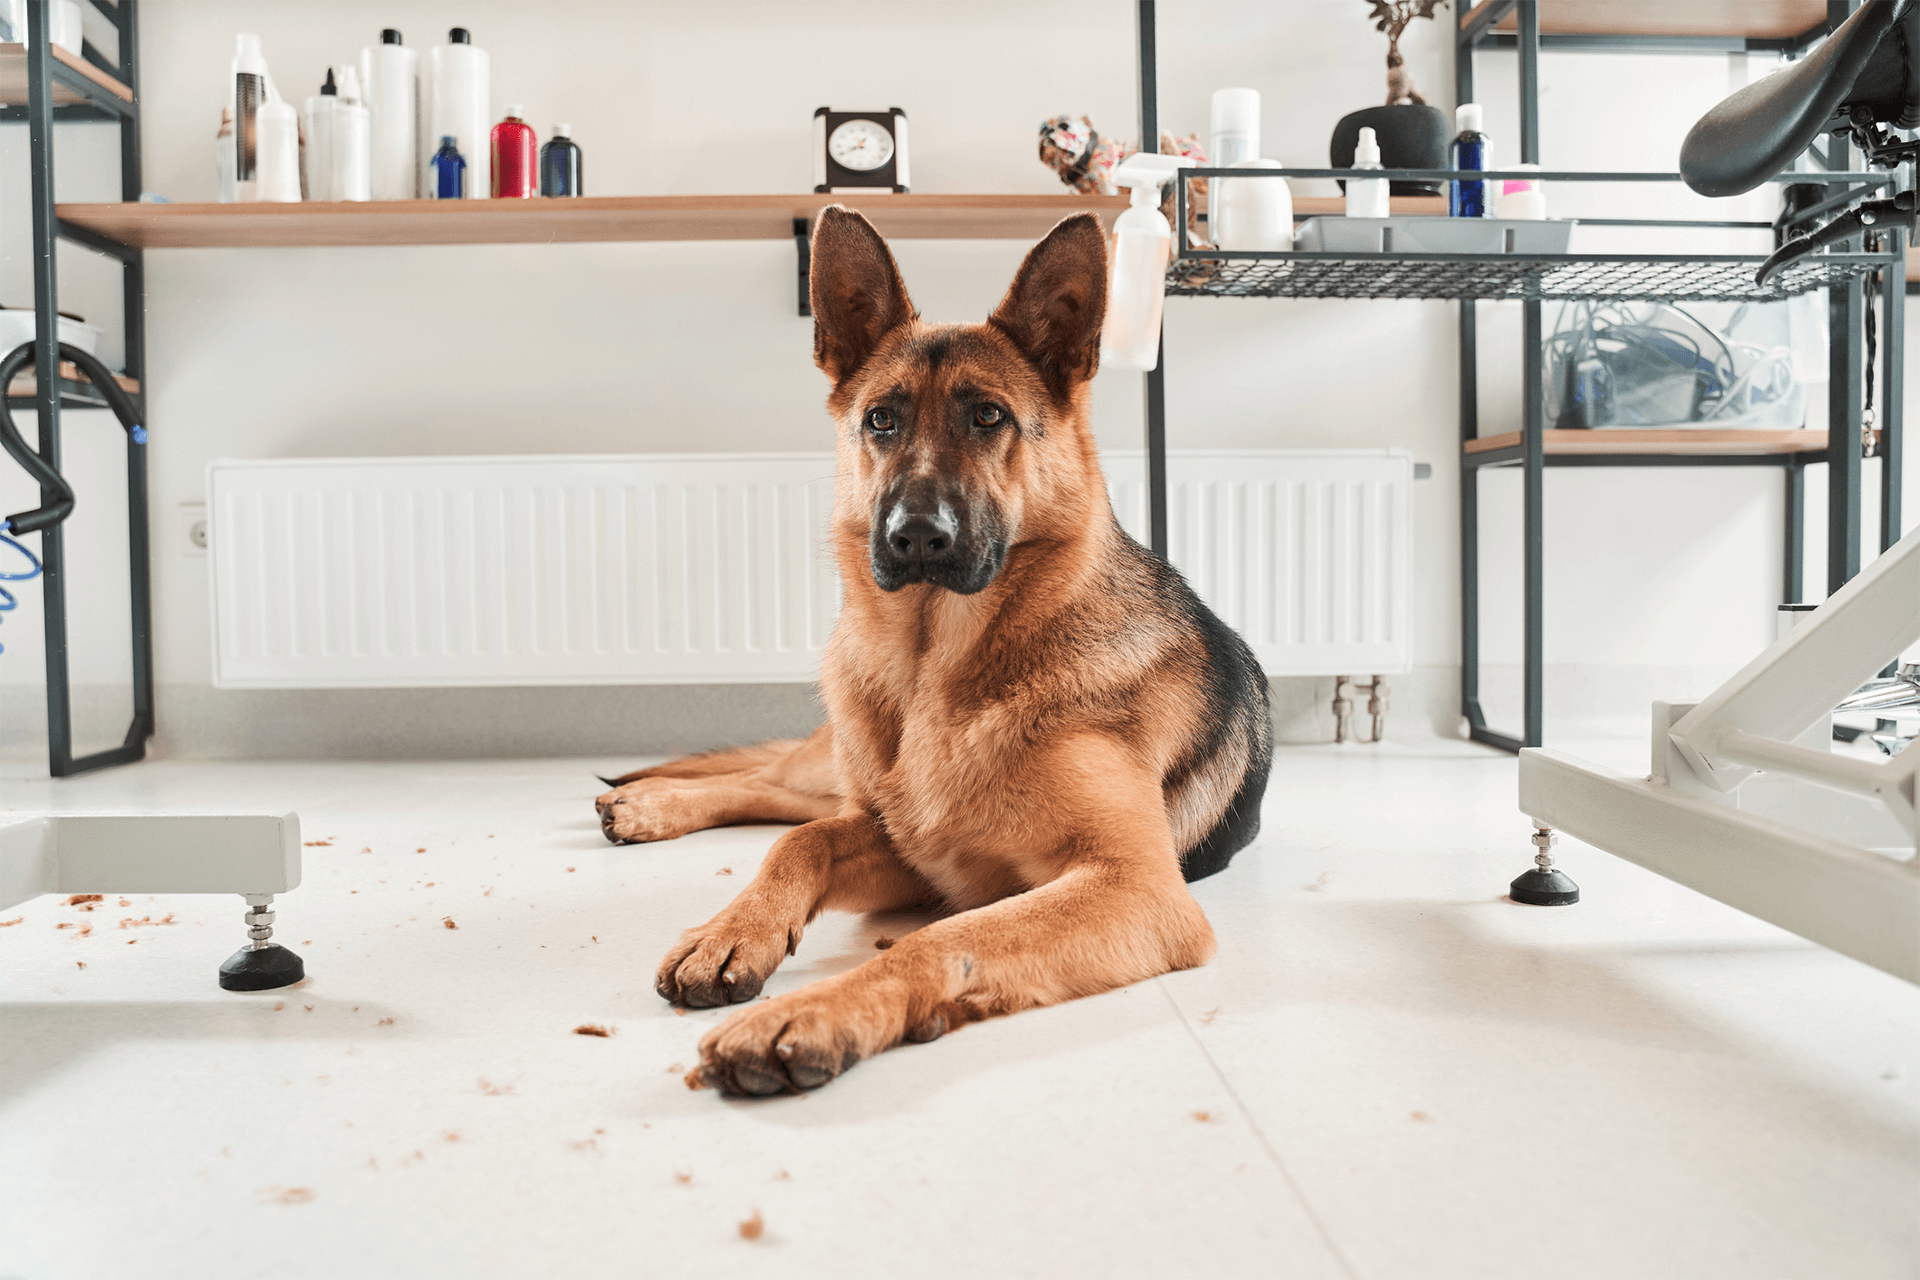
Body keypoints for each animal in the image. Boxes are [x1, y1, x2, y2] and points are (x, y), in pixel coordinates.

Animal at [595, 206, 1271, 1096]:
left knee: (778, 794)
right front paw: (732, 927)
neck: (933, 673)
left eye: (988, 417)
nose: (915, 536)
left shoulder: (1134, 886)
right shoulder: (900, 841)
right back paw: (651, 803)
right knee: (774, 788)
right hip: (840, 767)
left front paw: (812, 1013)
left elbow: (944, 935)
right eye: (881, 419)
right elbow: (798, 844)